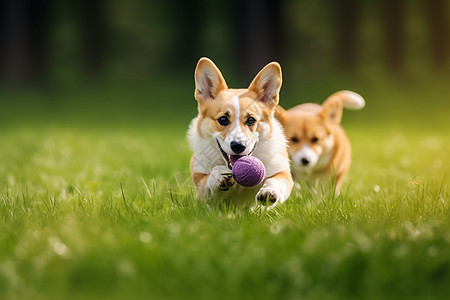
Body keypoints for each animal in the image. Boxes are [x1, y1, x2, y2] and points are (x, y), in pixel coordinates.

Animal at [187, 57, 296, 207]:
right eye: (223, 119)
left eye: (251, 120)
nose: (238, 146)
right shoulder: (203, 188)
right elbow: (210, 178)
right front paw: (220, 174)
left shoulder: (282, 173)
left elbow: (275, 181)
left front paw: (269, 192)